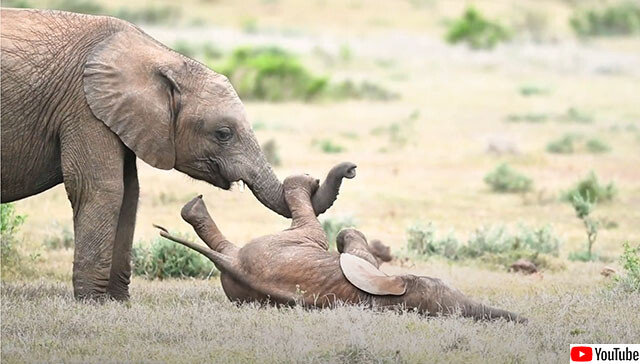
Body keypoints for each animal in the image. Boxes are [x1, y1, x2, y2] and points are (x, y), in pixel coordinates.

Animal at [0, 9, 348, 302]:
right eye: (223, 133)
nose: (349, 168)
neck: (161, 59)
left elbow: (129, 193)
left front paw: (117, 303)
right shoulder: (84, 108)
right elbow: (100, 188)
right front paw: (92, 303)